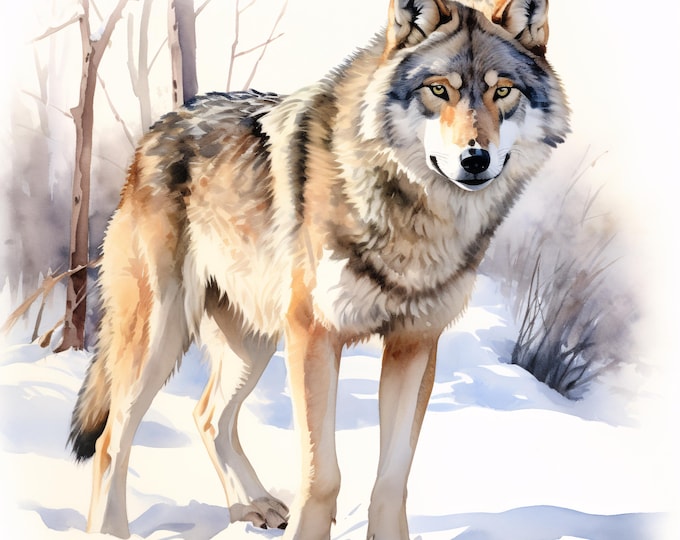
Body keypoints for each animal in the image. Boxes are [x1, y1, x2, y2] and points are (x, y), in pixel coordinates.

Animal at [69, 0, 568, 538]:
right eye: (439, 90)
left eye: (503, 91)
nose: (475, 158)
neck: (415, 223)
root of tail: (155, 132)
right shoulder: (314, 335)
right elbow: (321, 476)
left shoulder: (414, 344)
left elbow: (392, 480)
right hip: (162, 333)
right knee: (112, 439)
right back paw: (113, 528)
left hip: (253, 343)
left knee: (208, 416)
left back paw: (253, 506)